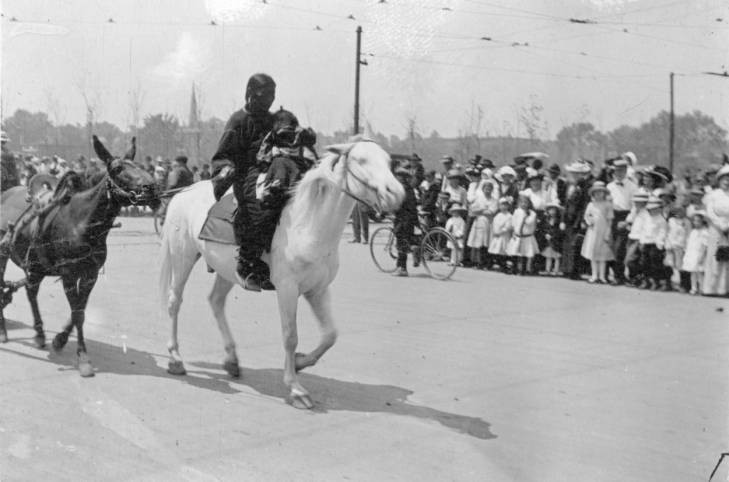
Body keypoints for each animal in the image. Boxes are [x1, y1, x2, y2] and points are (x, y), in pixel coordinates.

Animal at [0, 136, 159, 376]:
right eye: (117, 169)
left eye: (140, 165)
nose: (153, 189)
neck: (80, 223)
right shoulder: (68, 274)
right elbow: (77, 313)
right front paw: (83, 357)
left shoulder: (89, 274)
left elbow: (80, 312)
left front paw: (60, 339)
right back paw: (5, 330)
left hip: (37, 266)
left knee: (31, 291)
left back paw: (39, 333)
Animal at [159, 138, 404, 406]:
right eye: (361, 160)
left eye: (389, 161)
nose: (396, 193)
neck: (307, 224)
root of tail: (182, 192)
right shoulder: (287, 289)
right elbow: (290, 336)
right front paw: (296, 389)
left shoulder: (318, 290)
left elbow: (330, 334)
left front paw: (301, 362)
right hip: (183, 256)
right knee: (174, 302)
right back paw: (175, 358)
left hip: (227, 270)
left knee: (215, 301)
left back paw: (231, 359)